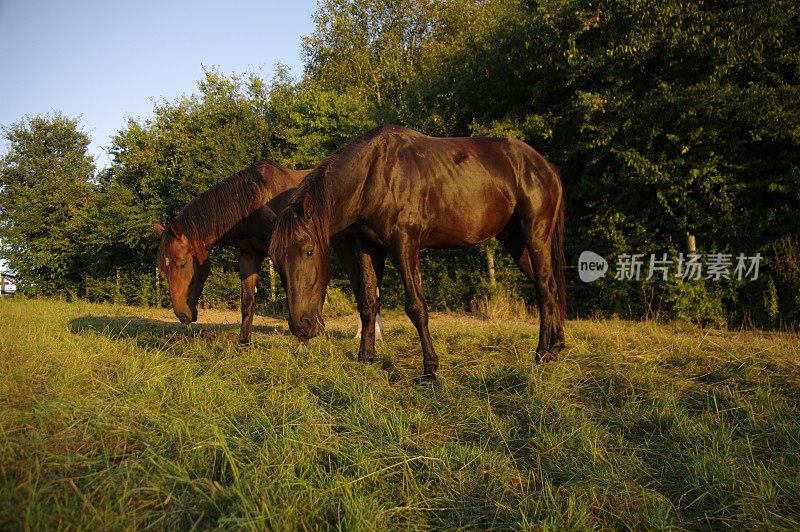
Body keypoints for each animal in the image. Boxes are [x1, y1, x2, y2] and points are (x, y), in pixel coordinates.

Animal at [155, 158, 382, 344]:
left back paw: (370, 333)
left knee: (359, 283)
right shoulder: (248, 255)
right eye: (164, 270)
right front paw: (243, 343)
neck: (255, 201)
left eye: (183, 264)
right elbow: (247, 300)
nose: (182, 315)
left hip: (347, 245)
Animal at [272, 123, 564, 382]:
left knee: (544, 290)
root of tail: (545, 166)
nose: (301, 326)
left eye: (309, 251)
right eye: (276, 260)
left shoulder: (405, 244)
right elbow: (368, 303)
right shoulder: (368, 248)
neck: (372, 176)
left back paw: (541, 354)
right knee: (550, 286)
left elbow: (416, 306)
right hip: (516, 242)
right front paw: (365, 358)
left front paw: (429, 369)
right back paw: (556, 347)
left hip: (535, 236)